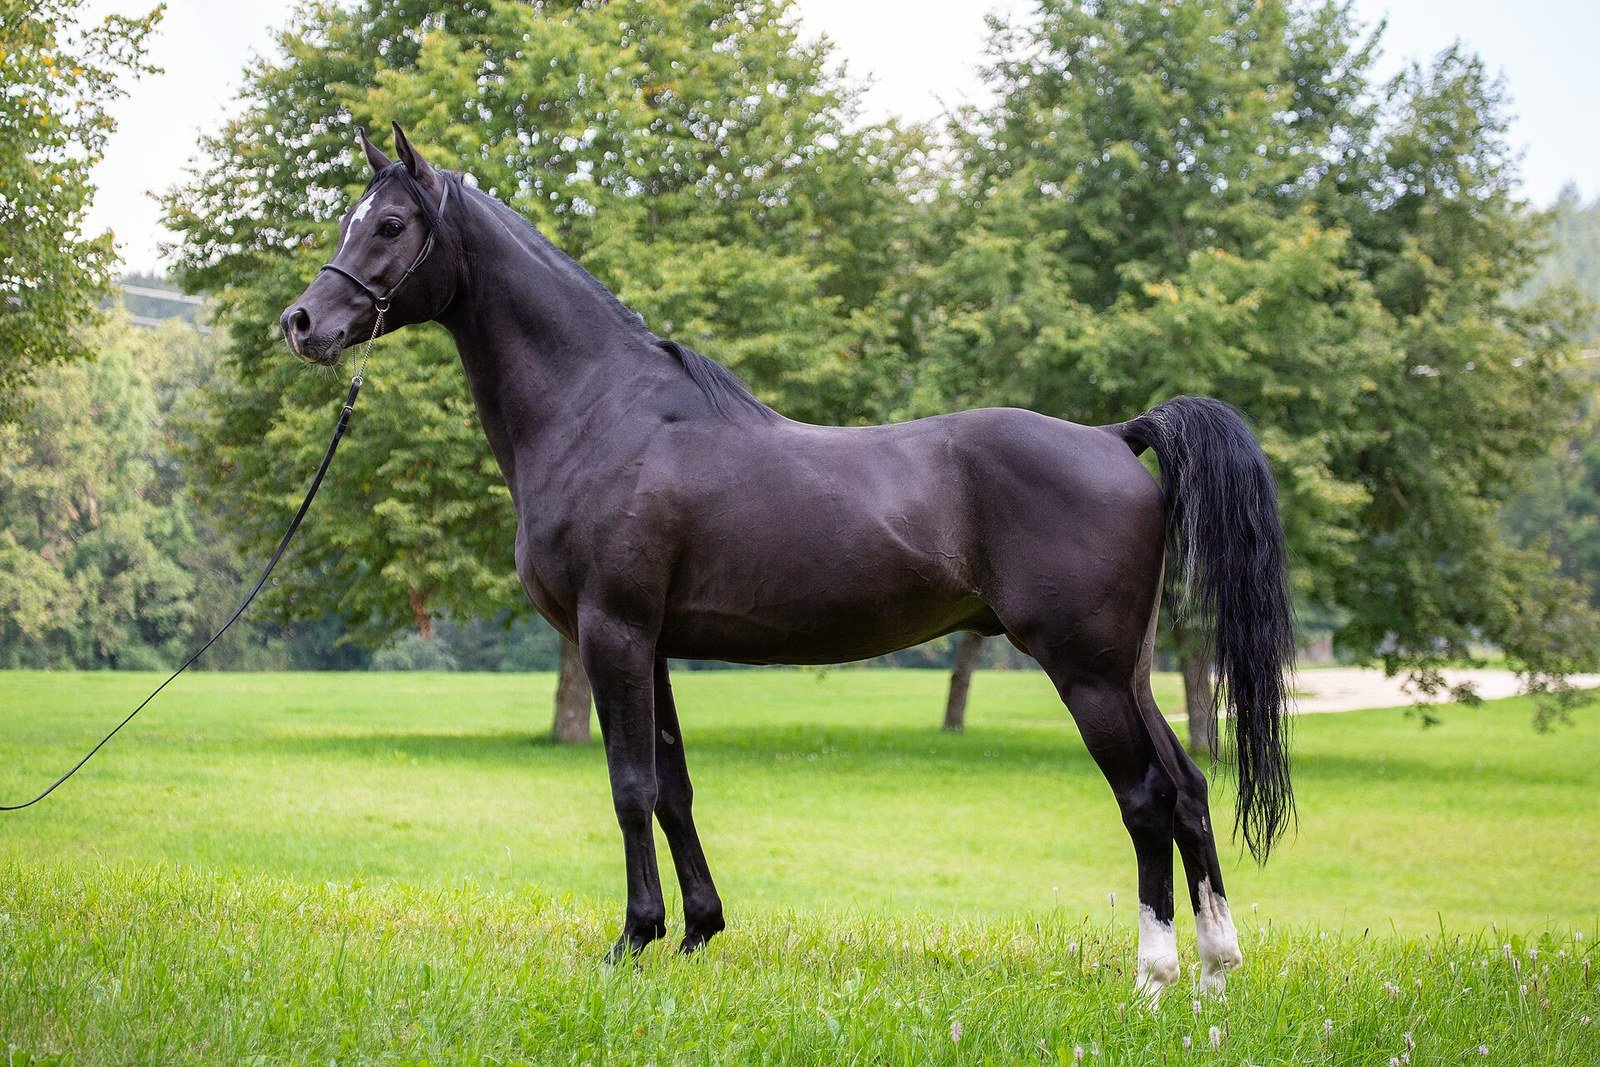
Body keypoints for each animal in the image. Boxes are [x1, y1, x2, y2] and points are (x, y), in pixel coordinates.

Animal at [280, 123, 1294, 998]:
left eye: (391, 224)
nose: (302, 323)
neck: (602, 410)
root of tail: (1114, 436)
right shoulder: (651, 644)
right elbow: (674, 787)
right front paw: (697, 930)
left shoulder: (613, 631)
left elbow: (630, 786)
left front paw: (633, 939)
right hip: (1128, 668)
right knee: (1191, 787)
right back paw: (1215, 970)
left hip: (1084, 671)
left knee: (1146, 797)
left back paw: (1154, 976)